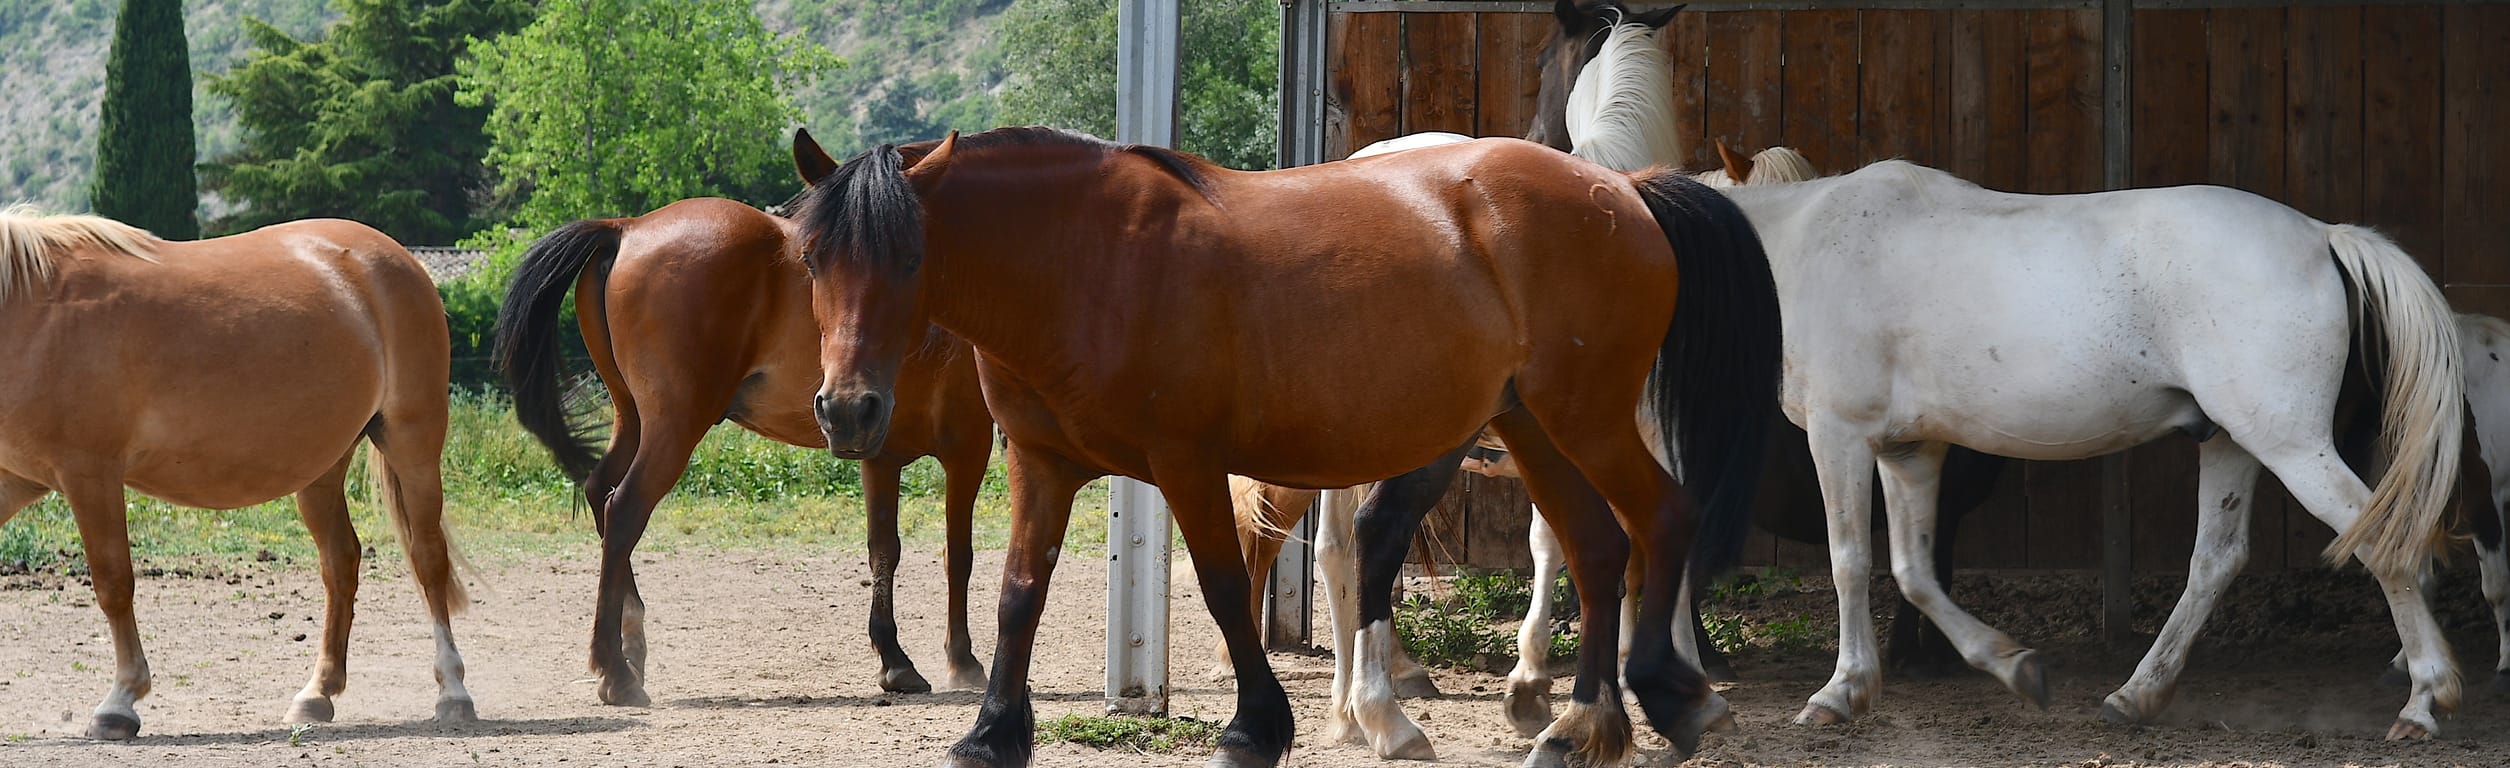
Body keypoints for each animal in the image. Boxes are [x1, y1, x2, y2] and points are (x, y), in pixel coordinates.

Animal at [489, 198, 988, 707]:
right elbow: (957, 554)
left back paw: (632, 647)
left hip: (632, 419)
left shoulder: (878, 451)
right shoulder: (969, 446)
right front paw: (961, 661)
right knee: (624, 509)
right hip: (674, 428)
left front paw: (895, 660)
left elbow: (885, 549)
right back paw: (615, 673)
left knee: (599, 493)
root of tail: (626, 228)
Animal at [788, 126, 1787, 768]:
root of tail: (1625, 190)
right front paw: (992, 733)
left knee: (1663, 518)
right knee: (1598, 547)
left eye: (911, 258)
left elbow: (1226, 588)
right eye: (810, 260)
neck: (1089, 263)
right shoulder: (1042, 465)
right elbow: (1017, 594)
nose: (848, 411)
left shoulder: (1185, 462)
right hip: (1533, 425)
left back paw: (1669, 696)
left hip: (1585, 417)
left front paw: (1254, 730)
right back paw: (1580, 728)